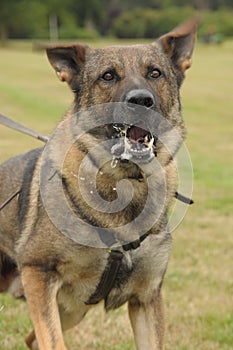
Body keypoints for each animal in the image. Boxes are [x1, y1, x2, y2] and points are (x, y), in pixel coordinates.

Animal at [0, 19, 198, 350]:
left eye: (155, 73)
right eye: (108, 76)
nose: (141, 101)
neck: (125, 184)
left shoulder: (146, 298)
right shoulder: (39, 274)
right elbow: (54, 342)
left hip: (72, 310)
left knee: (32, 339)